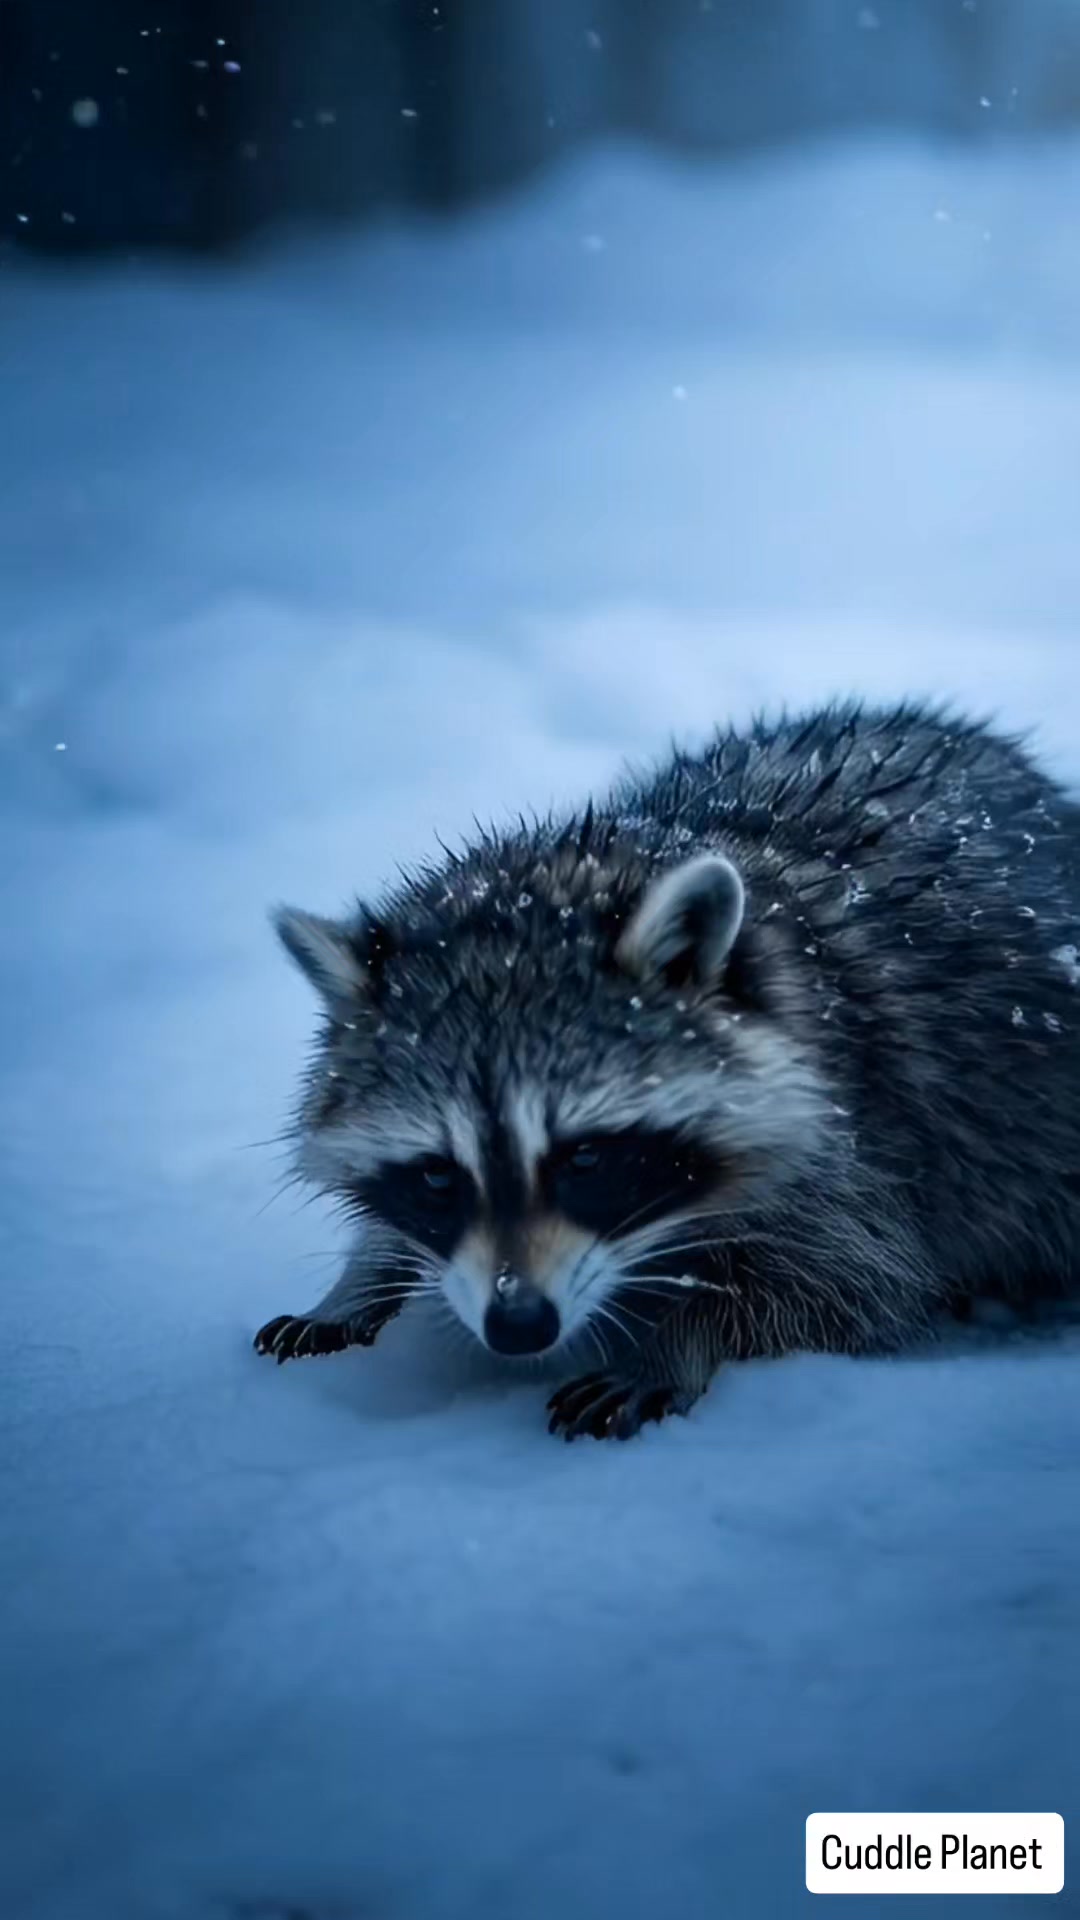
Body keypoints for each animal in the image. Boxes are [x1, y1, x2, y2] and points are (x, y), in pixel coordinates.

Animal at [255, 701, 1080, 1439]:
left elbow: (848, 1288)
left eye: (585, 1158)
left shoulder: (861, 1141)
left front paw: (675, 1343)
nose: (518, 1326)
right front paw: (361, 1280)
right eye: (436, 1174)